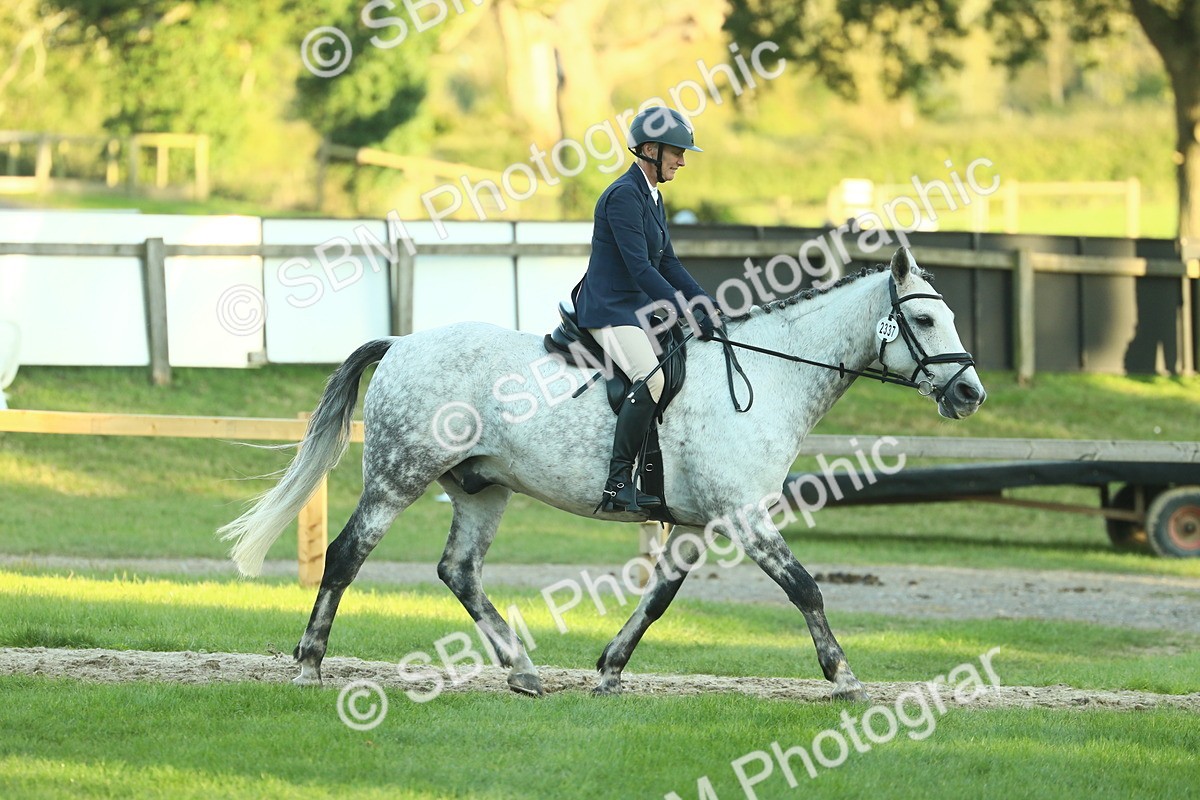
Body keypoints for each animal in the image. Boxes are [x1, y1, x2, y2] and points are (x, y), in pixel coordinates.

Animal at [218, 247, 985, 702]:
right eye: (923, 320)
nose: (970, 393)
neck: (766, 375)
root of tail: (401, 341)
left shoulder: (694, 523)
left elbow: (660, 598)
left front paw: (611, 668)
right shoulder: (742, 515)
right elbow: (806, 588)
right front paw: (845, 677)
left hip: (482, 489)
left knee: (458, 571)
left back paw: (522, 671)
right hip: (398, 476)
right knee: (347, 555)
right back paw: (310, 663)